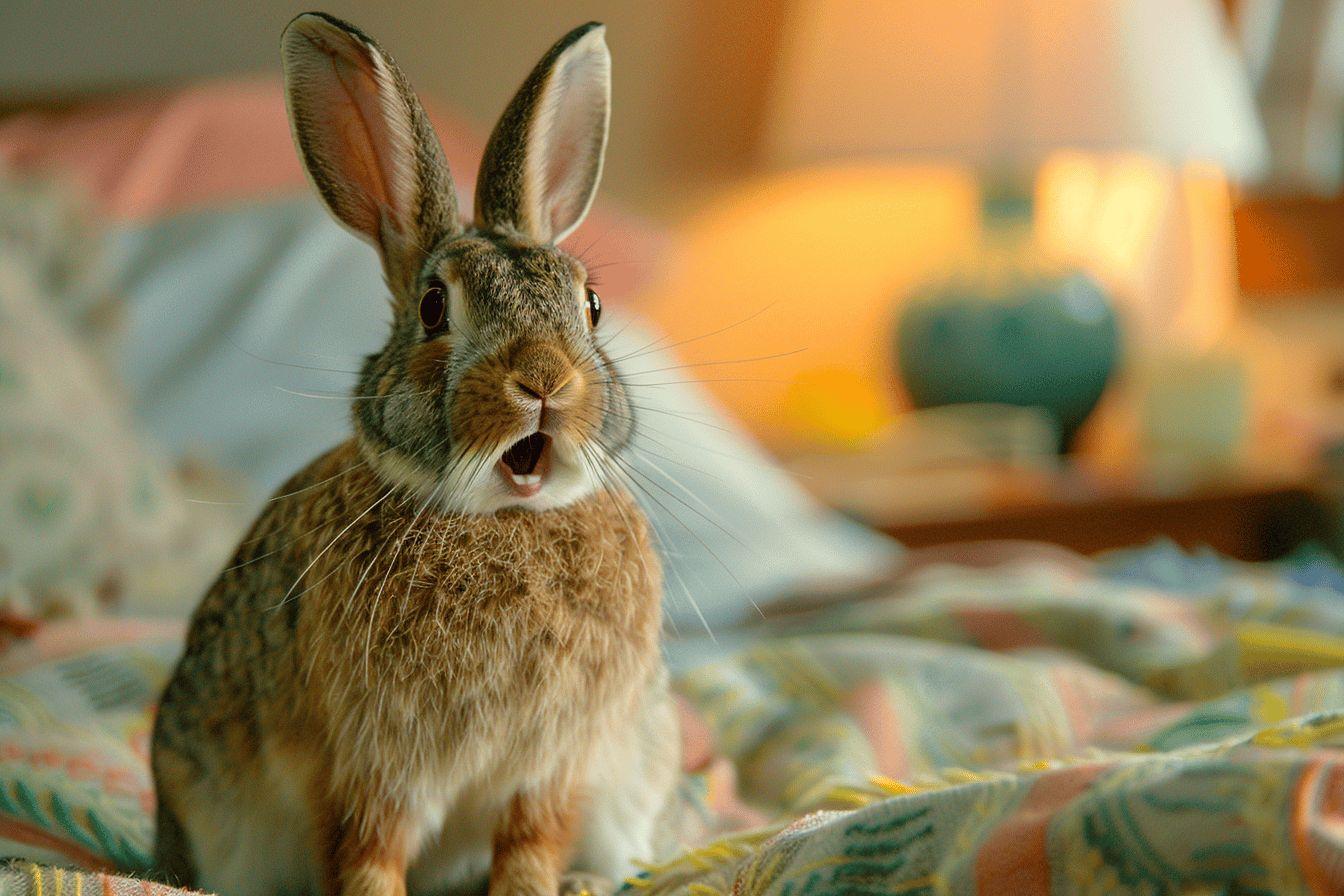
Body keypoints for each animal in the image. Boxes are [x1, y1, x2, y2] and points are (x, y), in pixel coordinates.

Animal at [150, 13, 681, 896]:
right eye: (435, 307)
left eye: (592, 305)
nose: (544, 380)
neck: (504, 521)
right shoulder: (372, 772)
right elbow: (370, 857)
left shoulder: (552, 770)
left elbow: (529, 853)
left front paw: (547, 886)